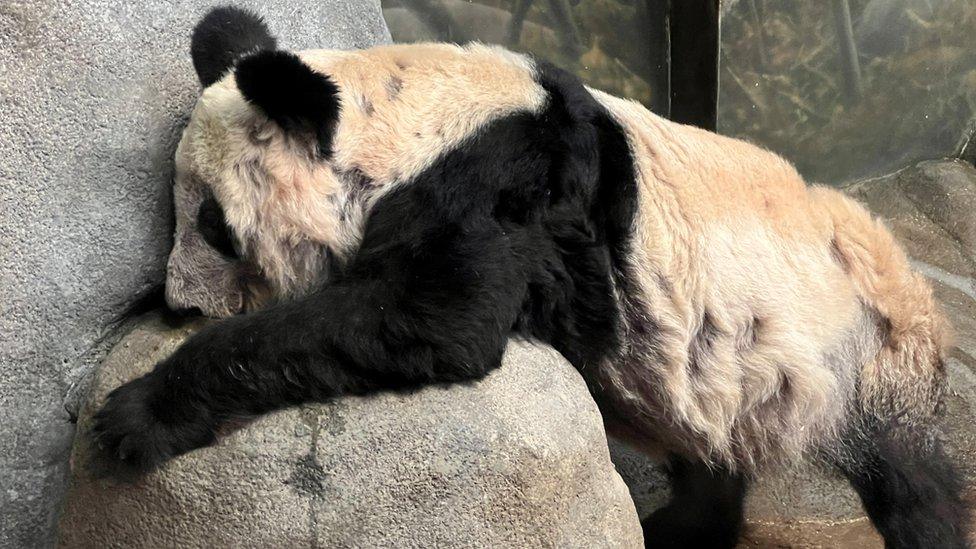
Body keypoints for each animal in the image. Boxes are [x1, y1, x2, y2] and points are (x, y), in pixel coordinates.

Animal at [89, 6, 968, 544]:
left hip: (866, 352)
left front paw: (133, 415)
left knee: (914, 478)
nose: (180, 300)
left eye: (214, 223)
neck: (406, 114)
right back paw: (679, 525)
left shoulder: (506, 188)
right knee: (711, 455)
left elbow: (434, 316)